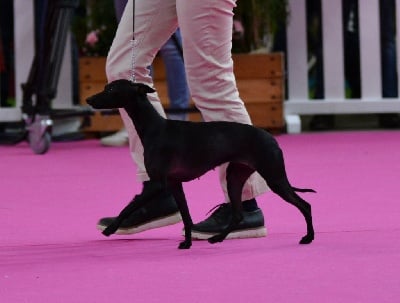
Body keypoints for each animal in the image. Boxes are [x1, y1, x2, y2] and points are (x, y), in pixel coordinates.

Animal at [87, 80, 316, 249]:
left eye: (111, 89)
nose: (88, 99)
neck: (155, 128)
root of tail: (272, 139)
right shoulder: (175, 184)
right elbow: (186, 217)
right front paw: (187, 243)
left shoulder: (157, 184)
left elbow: (129, 206)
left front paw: (111, 228)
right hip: (235, 176)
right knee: (238, 214)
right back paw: (217, 238)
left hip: (274, 177)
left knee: (305, 205)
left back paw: (308, 237)